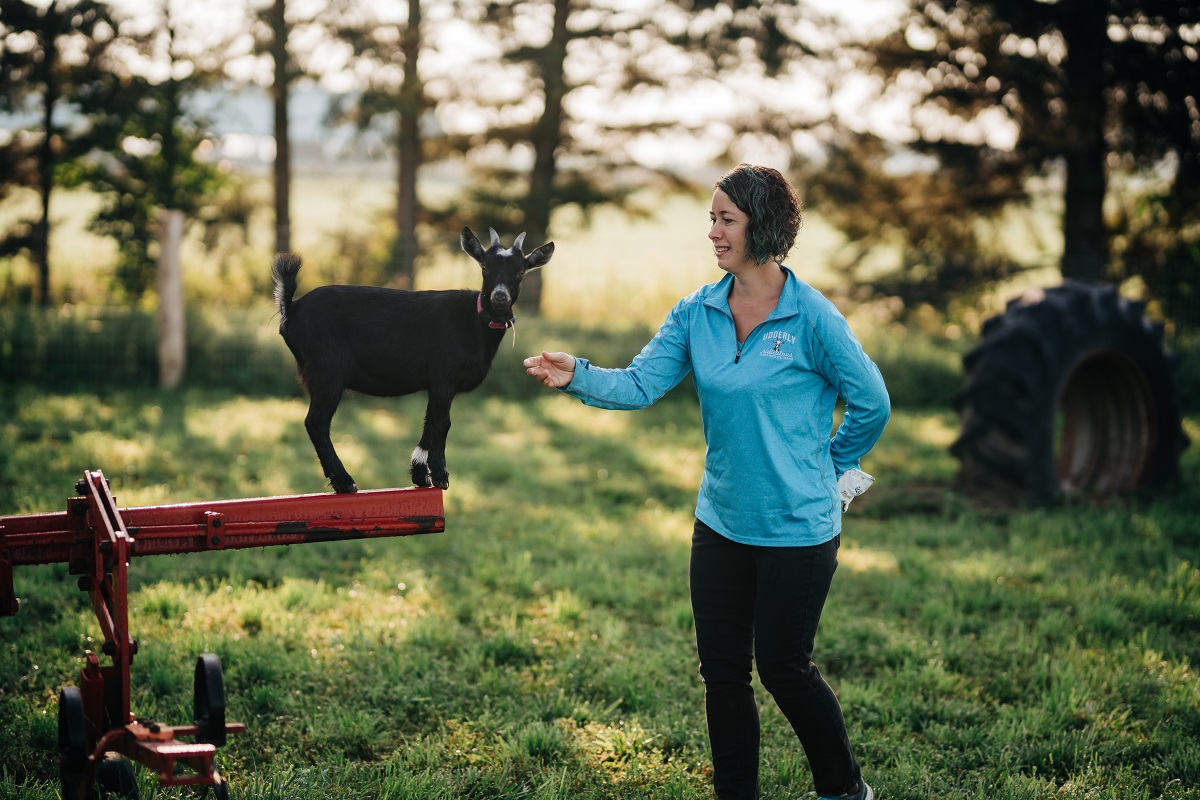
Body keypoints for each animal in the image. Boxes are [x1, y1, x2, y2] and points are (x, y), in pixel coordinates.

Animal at [274, 226, 554, 494]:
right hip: (327, 372)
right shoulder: (444, 378)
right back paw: (345, 482)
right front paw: (440, 475)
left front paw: (420, 474)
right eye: (484, 267)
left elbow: (429, 423)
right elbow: (442, 423)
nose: (499, 297)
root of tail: (291, 309)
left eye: (521, 271)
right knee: (316, 423)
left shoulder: (435, 383)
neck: (473, 322)